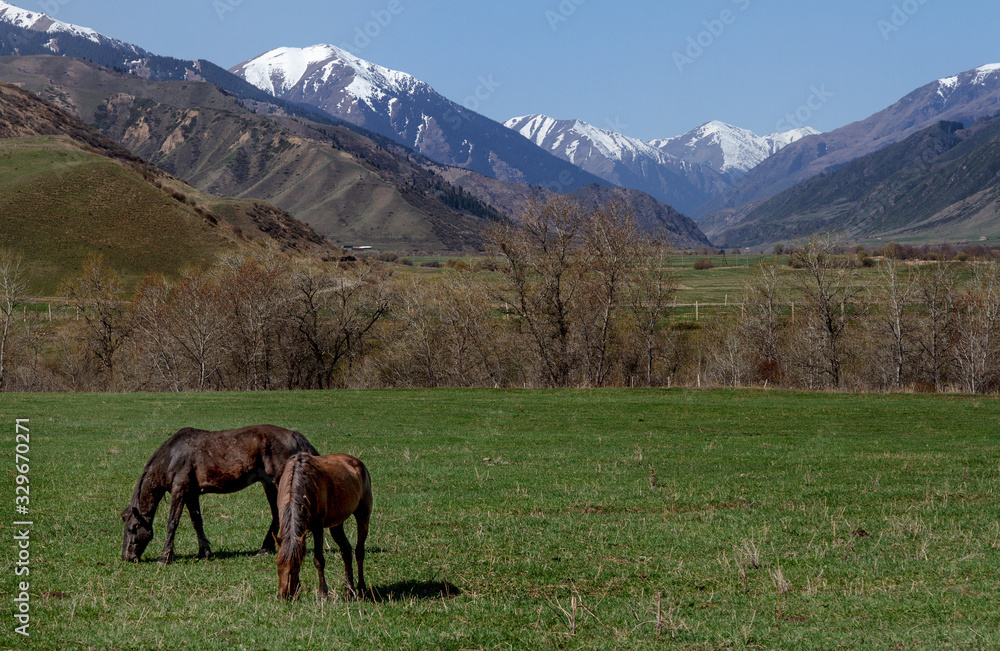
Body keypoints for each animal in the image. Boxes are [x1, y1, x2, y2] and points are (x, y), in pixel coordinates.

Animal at [121, 426, 318, 564]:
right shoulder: (191, 495)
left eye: (133, 528)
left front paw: (165, 557)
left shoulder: (179, 492)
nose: (126, 557)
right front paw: (204, 553)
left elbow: (172, 523)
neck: (172, 457)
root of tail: (293, 435)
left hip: (277, 483)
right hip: (269, 485)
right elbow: (197, 522)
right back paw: (266, 547)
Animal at [276, 454, 374, 600]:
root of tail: (358, 463)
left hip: (363, 515)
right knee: (346, 552)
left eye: (295, 567)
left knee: (359, 552)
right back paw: (349, 591)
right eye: (278, 564)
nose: (283, 595)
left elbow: (318, 560)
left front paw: (323, 593)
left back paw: (361, 588)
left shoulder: (318, 527)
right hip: (336, 525)